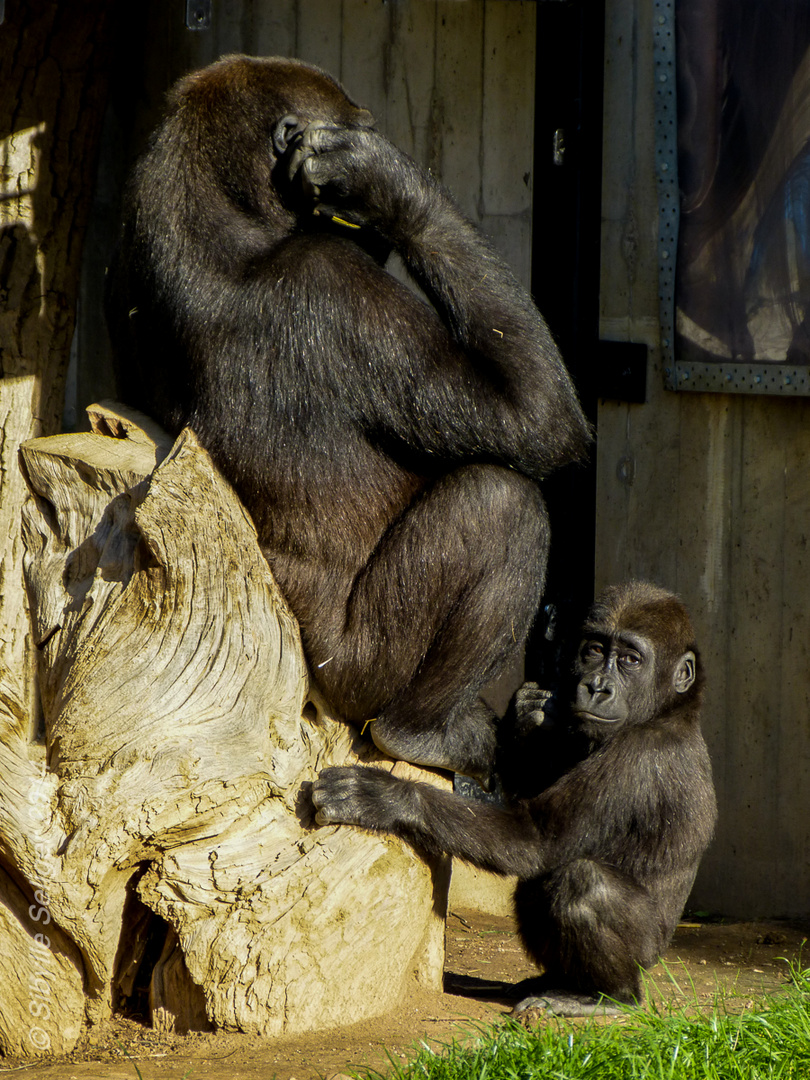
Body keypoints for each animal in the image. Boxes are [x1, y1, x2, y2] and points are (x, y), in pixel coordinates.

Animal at [106, 54, 591, 786]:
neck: (214, 213)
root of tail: (318, 689)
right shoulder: (336, 282)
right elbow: (537, 420)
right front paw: (389, 184)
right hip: (359, 670)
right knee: (502, 501)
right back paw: (420, 732)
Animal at [311, 583, 717, 1010]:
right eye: (594, 650)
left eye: (630, 660)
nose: (596, 687)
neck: (672, 709)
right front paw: (527, 713)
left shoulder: (637, 757)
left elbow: (535, 839)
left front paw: (386, 798)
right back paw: (557, 981)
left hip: (647, 953)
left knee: (581, 881)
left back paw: (608, 997)